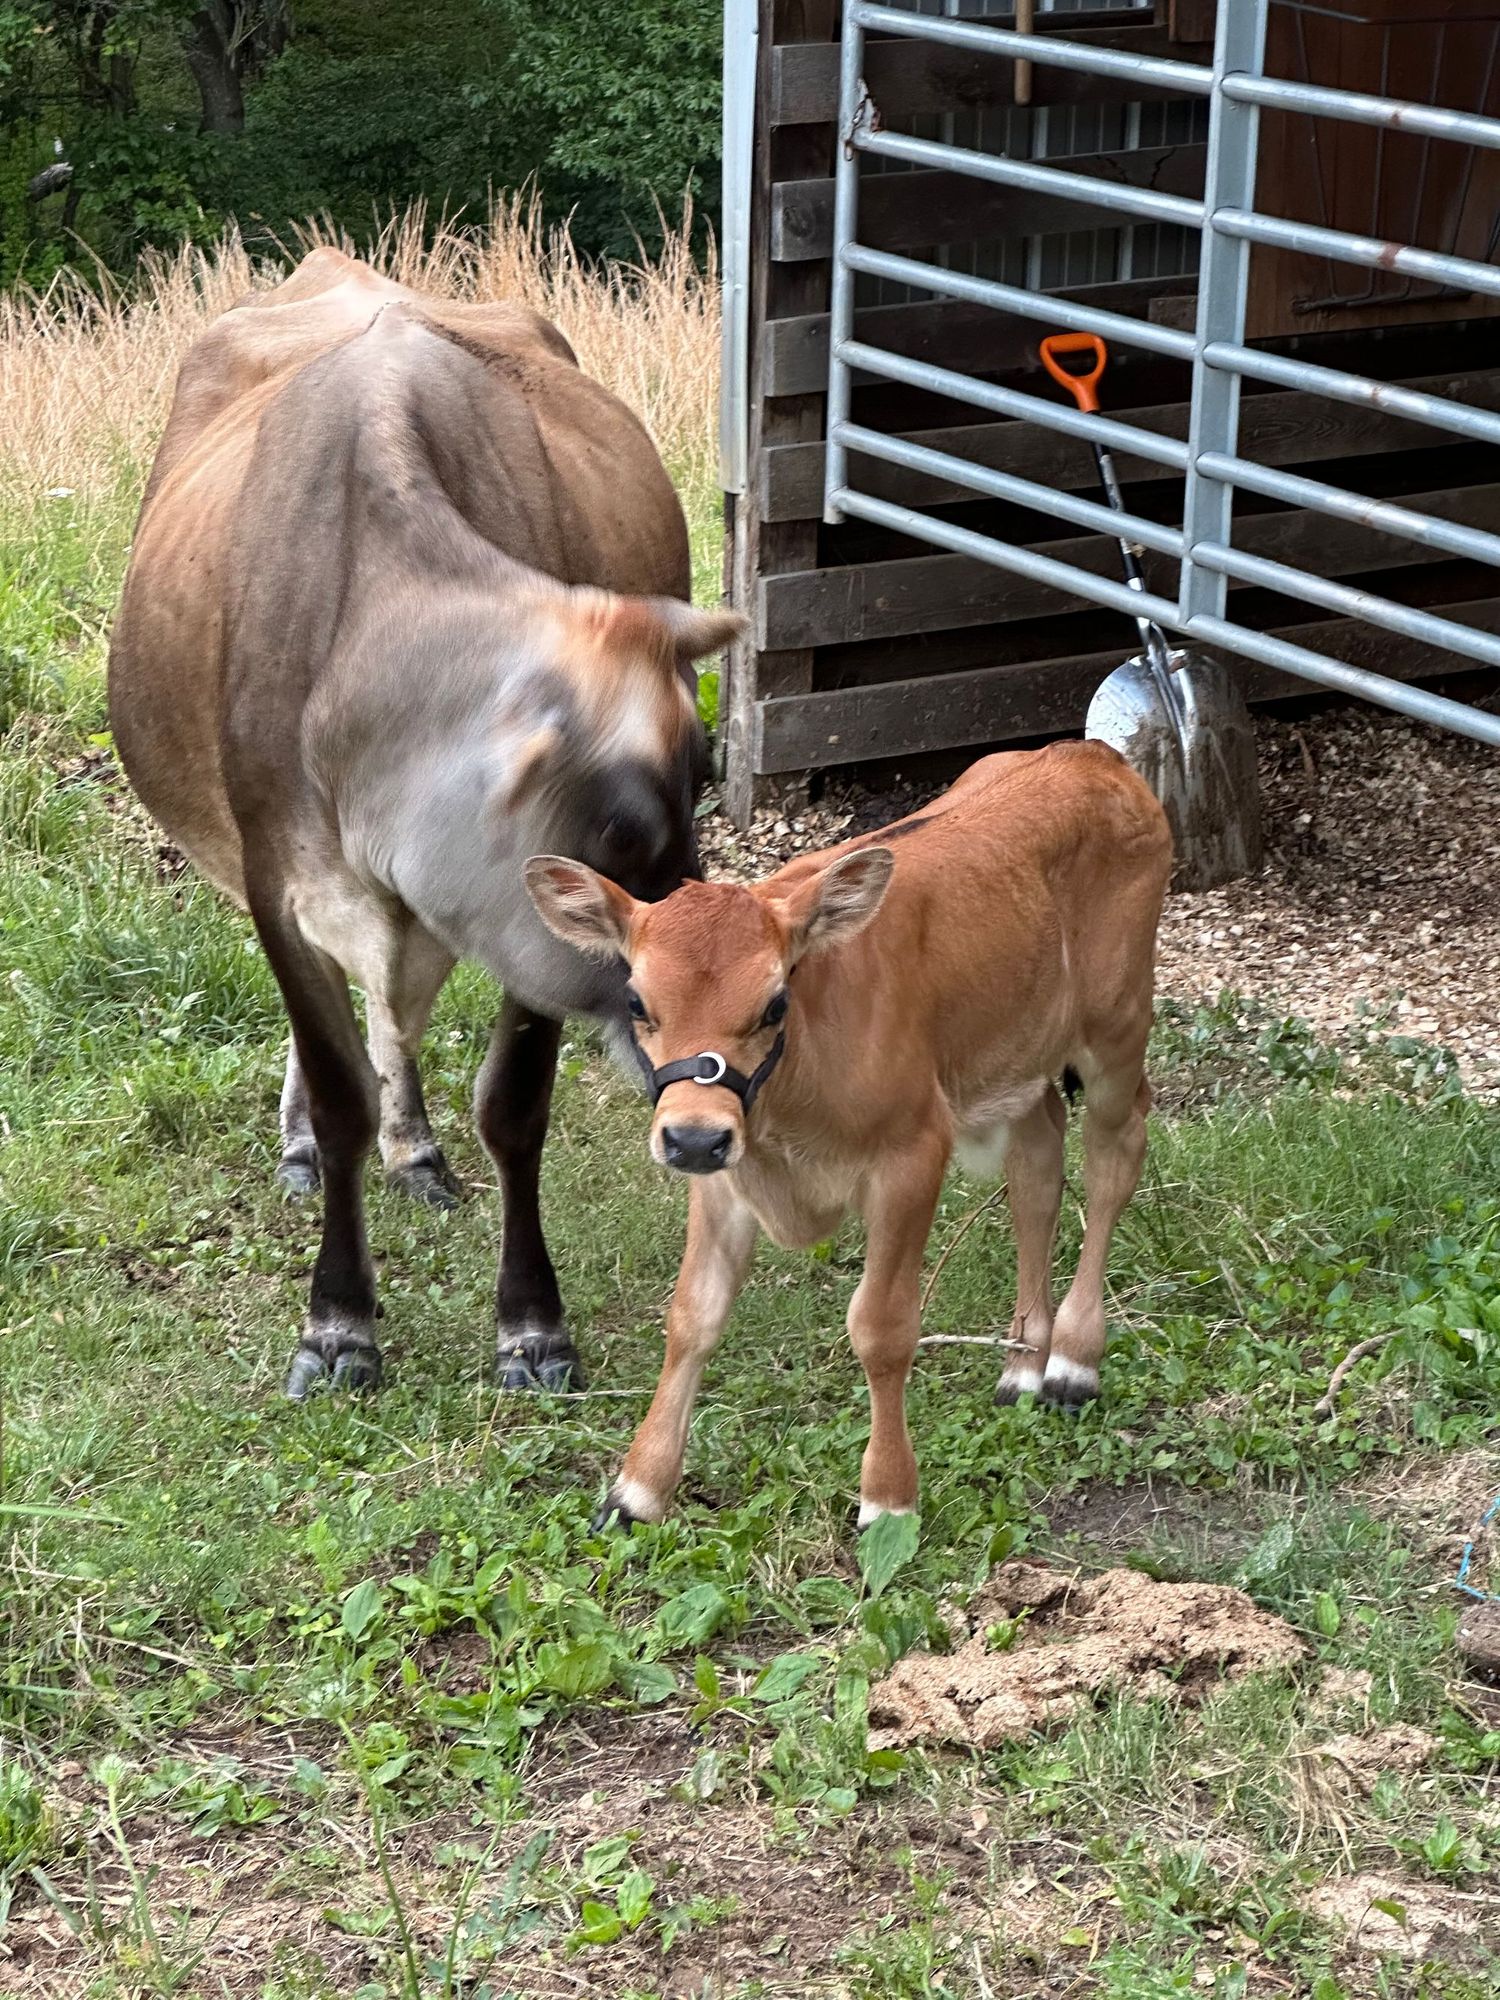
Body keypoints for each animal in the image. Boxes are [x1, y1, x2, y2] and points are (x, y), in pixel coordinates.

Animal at [108, 247, 740, 1400]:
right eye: (624, 827)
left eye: (704, 776)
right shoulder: (279, 884)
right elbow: (339, 1089)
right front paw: (339, 1322)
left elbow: (512, 1106)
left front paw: (532, 1324)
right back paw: (309, 1146)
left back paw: (417, 1149)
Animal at [525, 740, 1173, 1529]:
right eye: (636, 1001)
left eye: (775, 1004)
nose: (694, 1141)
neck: (787, 1126)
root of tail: (1092, 755)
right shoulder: (726, 1178)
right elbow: (692, 1315)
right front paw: (639, 1486)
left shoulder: (911, 1155)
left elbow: (881, 1329)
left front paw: (888, 1497)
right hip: (1013, 1051)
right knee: (1038, 1164)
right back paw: (1024, 1361)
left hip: (1117, 1026)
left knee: (1115, 1154)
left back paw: (1074, 1358)